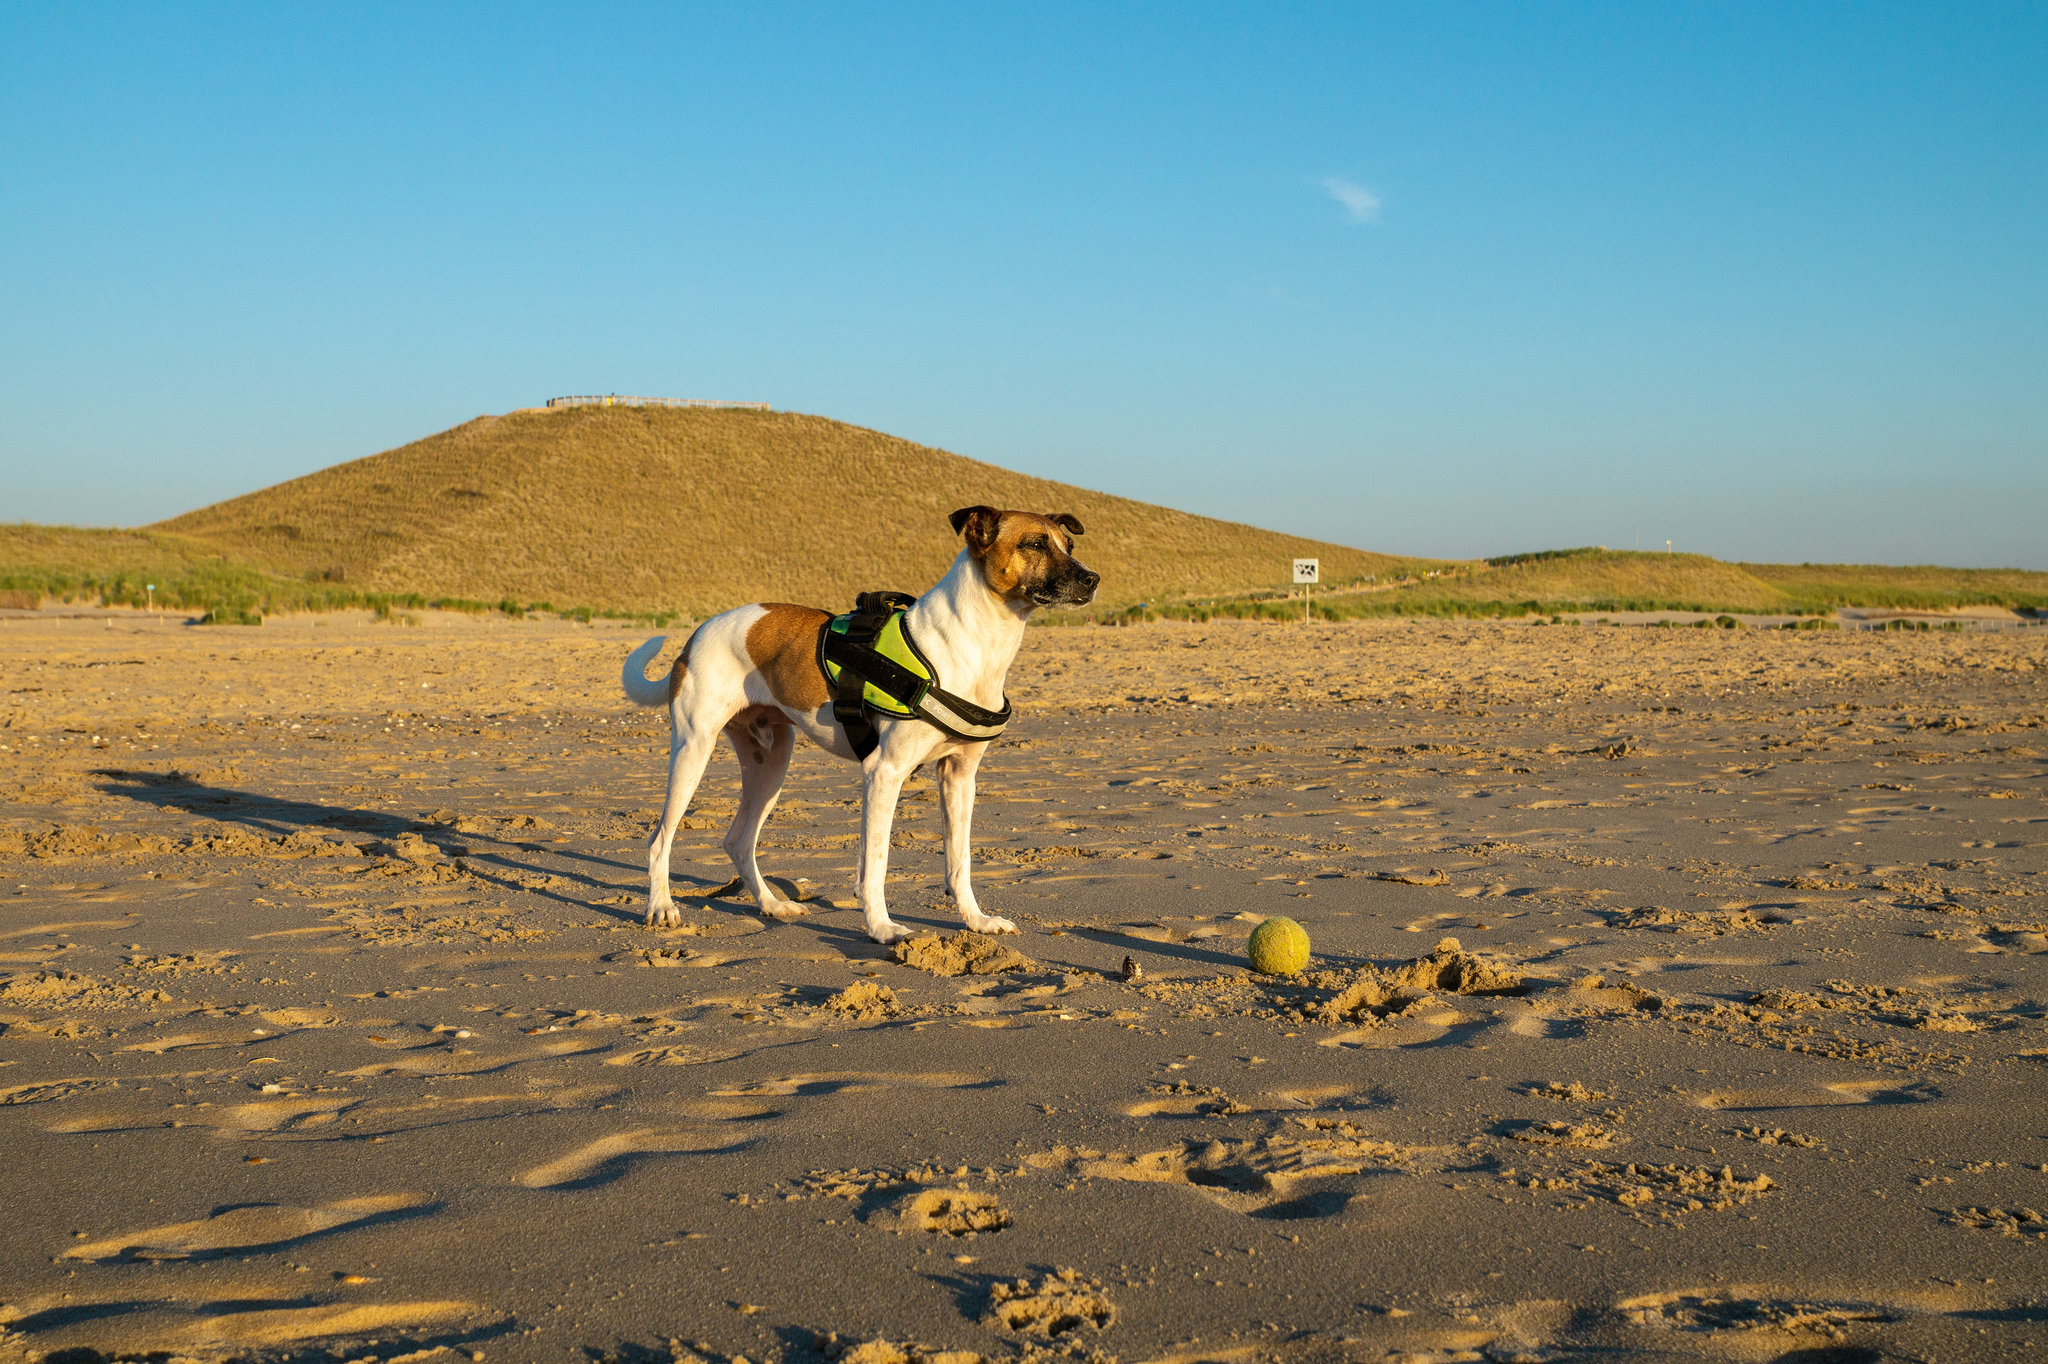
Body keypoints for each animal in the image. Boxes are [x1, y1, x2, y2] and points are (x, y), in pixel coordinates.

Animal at [618, 503, 1097, 942]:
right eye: (1033, 544)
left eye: (1069, 545)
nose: (1092, 579)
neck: (974, 643)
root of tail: (695, 635)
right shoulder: (883, 772)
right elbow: (877, 864)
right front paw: (882, 928)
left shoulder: (960, 776)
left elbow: (958, 862)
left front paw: (976, 921)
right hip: (693, 749)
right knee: (661, 837)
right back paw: (661, 907)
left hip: (770, 761)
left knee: (738, 840)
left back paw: (773, 905)